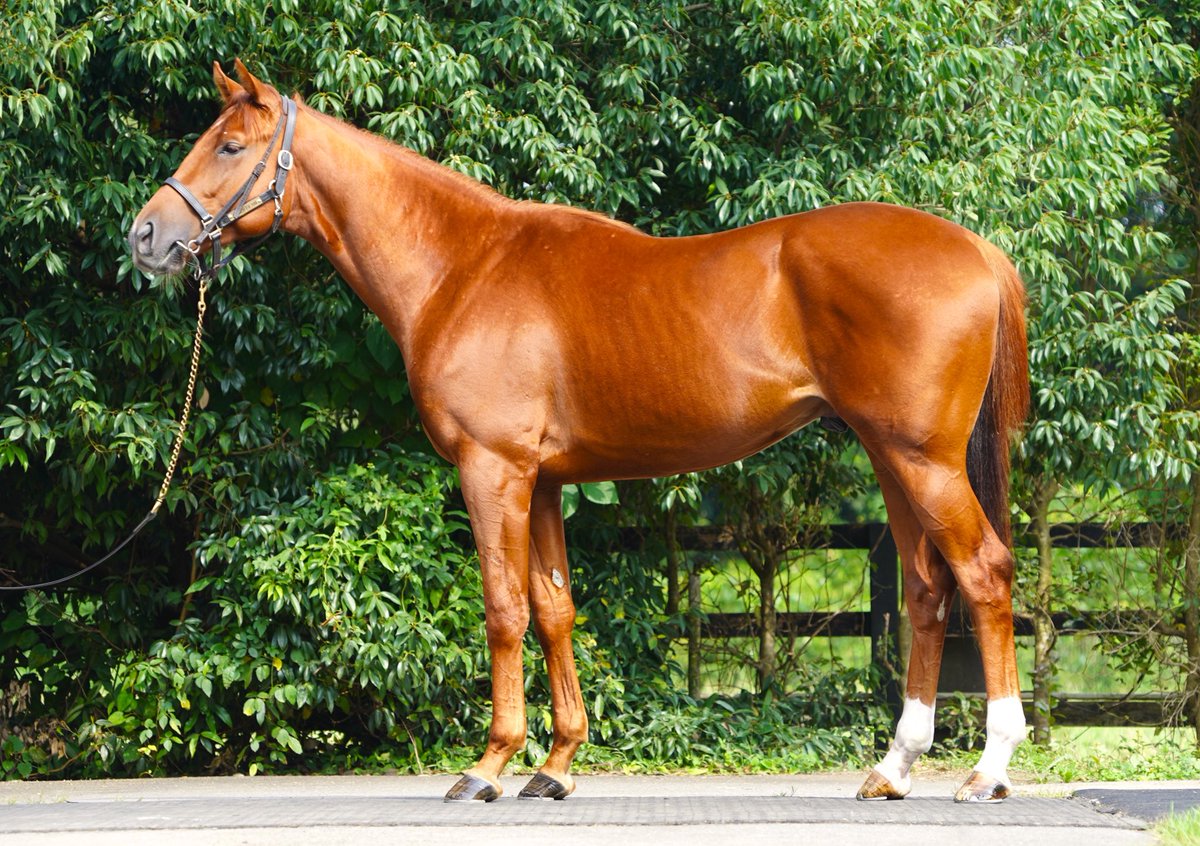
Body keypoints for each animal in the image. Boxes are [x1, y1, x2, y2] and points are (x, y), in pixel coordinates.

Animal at [129, 60, 1029, 804]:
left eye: (231, 146)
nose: (146, 237)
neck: (463, 268)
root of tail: (976, 249)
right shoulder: (545, 482)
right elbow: (555, 608)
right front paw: (556, 767)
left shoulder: (492, 471)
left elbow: (503, 608)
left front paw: (489, 765)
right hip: (890, 457)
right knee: (927, 587)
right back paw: (893, 768)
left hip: (924, 460)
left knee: (983, 573)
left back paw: (987, 769)